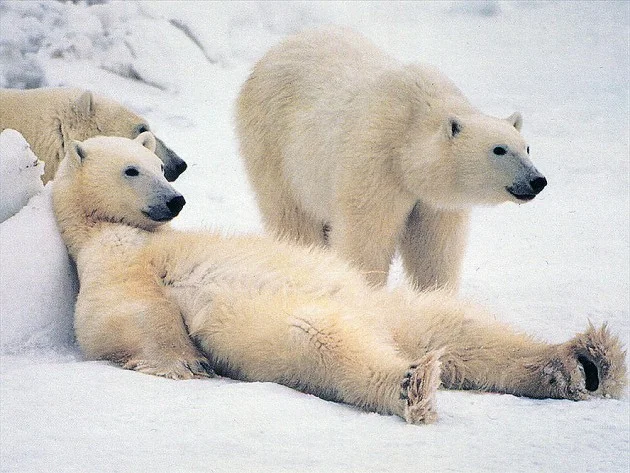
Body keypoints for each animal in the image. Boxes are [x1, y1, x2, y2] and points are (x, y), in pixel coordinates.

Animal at [53, 134, 628, 424]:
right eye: (132, 169)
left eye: (158, 166)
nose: (174, 200)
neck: (122, 230)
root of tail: (387, 331)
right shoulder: (110, 264)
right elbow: (122, 315)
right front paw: (184, 363)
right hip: (292, 321)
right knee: (321, 341)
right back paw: (412, 383)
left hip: (389, 305)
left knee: (460, 328)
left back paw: (584, 362)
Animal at [237, 28, 548, 292]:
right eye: (499, 149)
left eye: (527, 147)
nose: (537, 180)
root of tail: (275, 50)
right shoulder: (376, 163)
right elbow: (368, 237)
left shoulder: (434, 202)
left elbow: (435, 248)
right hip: (274, 145)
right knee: (293, 217)